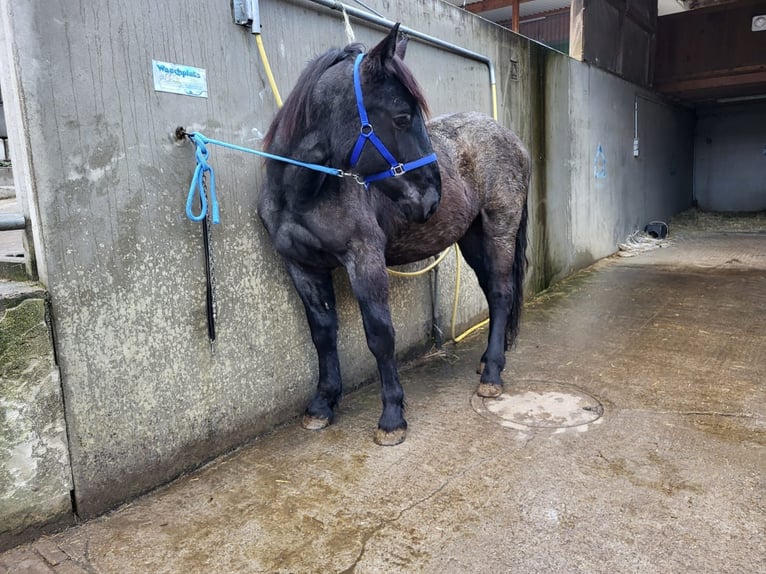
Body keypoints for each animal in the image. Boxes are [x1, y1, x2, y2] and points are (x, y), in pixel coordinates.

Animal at [260, 24, 532, 448]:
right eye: (402, 117)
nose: (432, 197)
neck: (303, 194)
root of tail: (514, 141)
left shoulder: (365, 261)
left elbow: (380, 336)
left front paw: (391, 417)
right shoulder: (302, 267)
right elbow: (323, 334)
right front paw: (321, 406)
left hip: (499, 229)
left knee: (502, 294)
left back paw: (491, 377)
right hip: (472, 238)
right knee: (492, 292)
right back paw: (490, 360)